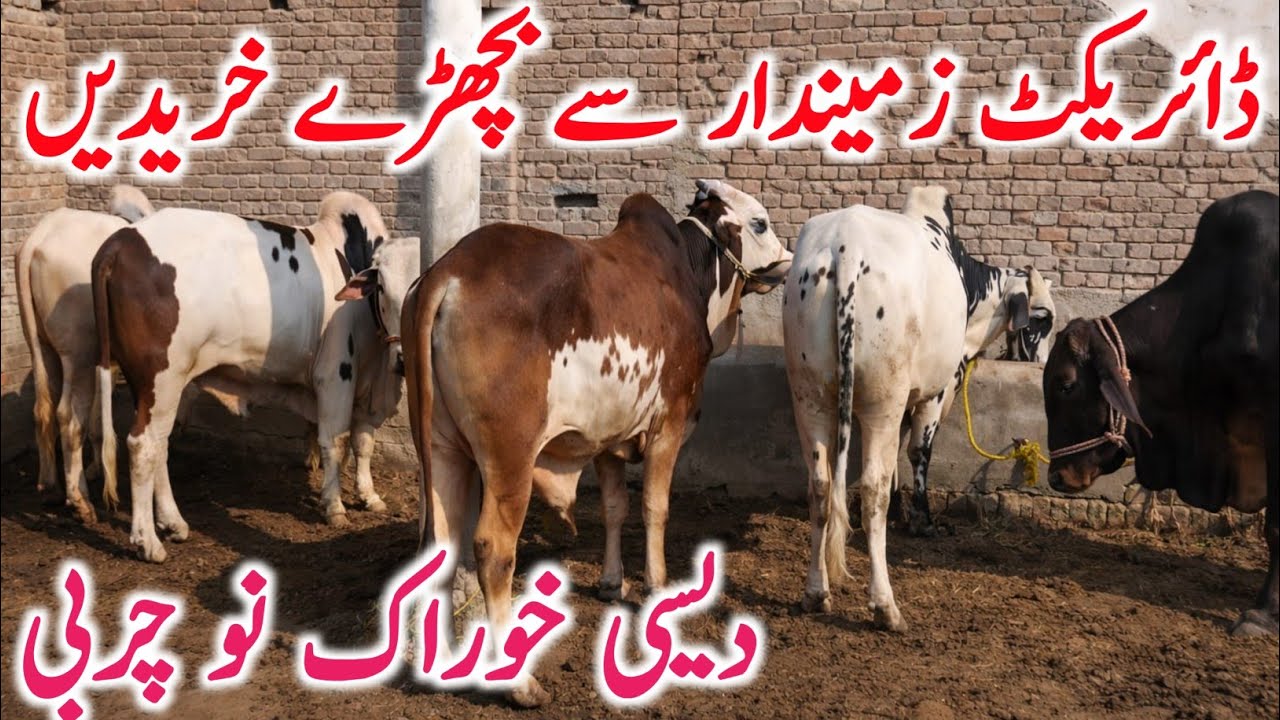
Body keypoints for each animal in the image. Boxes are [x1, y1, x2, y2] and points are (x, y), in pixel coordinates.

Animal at [16, 186, 155, 523]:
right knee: (68, 416)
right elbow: (97, 418)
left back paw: (51, 487)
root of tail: (37, 240)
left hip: (41, 344)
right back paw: (80, 501)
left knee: (43, 409)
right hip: (77, 351)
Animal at [91, 192, 410, 563]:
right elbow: (336, 441)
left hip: (152, 385)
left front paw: (369, 496)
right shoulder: (336, 375)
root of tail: (120, 241)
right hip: (162, 376)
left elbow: (363, 442)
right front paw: (334, 506)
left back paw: (173, 523)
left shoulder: (368, 388)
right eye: (383, 288)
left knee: (159, 443)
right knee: (143, 445)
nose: (405, 357)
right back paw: (148, 542)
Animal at [399, 180, 791, 706]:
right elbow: (654, 507)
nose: (787, 258)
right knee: (493, 549)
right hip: (509, 458)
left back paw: (439, 662)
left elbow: (613, 508)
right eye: (759, 223)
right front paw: (656, 587)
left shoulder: (608, 440)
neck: (688, 275)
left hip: (440, 448)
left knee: (439, 548)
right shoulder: (669, 424)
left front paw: (610, 582)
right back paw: (520, 683)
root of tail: (449, 272)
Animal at [782, 186, 1055, 630]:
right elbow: (917, 452)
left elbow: (895, 456)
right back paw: (884, 605)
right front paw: (922, 520)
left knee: (821, 486)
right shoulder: (936, 393)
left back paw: (816, 592)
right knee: (871, 489)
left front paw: (902, 511)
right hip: (881, 401)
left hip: (810, 397)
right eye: (1043, 316)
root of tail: (846, 246)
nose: (1041, 364)